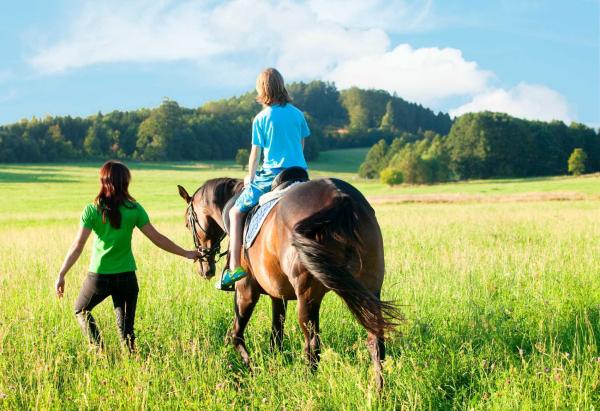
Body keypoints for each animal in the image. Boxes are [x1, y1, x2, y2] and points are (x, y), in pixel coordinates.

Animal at [178, 177, 404, 390]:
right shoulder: (278, 295)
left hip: (307, 298)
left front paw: (253, 371)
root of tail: (340, 197)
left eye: (188, 224)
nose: (205, 268)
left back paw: (308, 385)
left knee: (312, 346)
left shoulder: (245, 292)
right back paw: (379, 392)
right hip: (371, 291)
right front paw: (273, 367)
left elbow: (236, 335)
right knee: (376, 343)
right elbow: (276, 336)